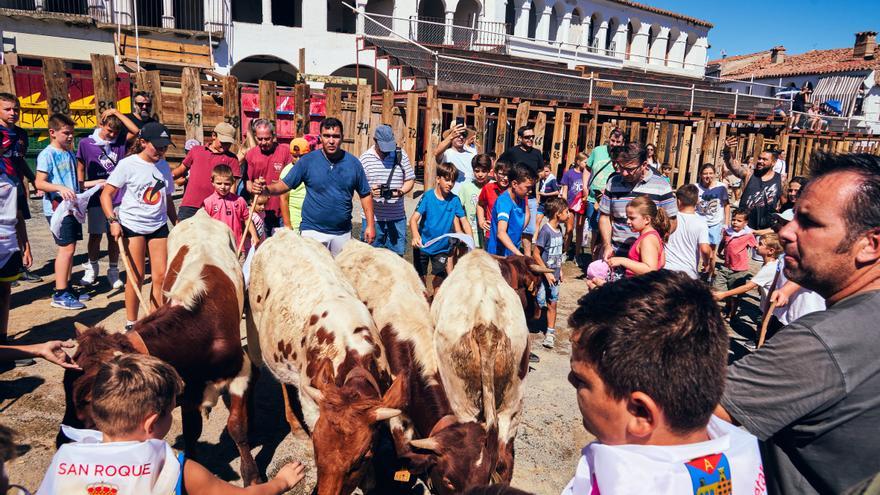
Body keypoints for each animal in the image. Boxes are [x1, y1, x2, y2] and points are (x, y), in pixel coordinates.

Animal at [57, 209, 258, 484]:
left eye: (87, 398)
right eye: (65, 385)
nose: (60, 441)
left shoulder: (241, 370)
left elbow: (238, 427)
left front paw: (252, 477)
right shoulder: (188, 387)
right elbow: (192, 430)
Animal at [248, 232, 406, 495]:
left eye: (362, 457)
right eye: (316, 449)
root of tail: (281, 233)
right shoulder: (310, 402)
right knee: (283, 384)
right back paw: (295, 427)